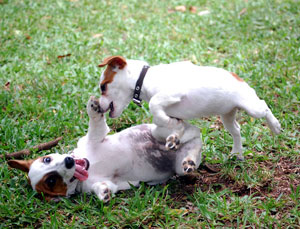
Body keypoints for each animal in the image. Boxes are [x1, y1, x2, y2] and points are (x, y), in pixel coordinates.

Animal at [8, 96, 203, 202]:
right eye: (51, 181)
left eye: (47, 159)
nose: (69, 161)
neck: (89, 164)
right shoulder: (104, 182)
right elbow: (102, 187)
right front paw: (103, 194)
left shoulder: (95, 137)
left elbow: (94, 123)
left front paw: (93, 109)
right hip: (180, 165)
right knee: (194, 145)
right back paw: (188, 160)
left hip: (158, 131)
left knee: (187, 131)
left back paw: (175, 137)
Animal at [98, 55, 282, 159]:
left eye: (103, 87)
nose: (98, 106)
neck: (143, 79)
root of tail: (237, 77)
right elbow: (161, 128)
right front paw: (175, 135)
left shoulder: (173, 93)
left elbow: (154, 104)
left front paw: (171, 126)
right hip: (227, 115)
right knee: (236, 130)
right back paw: (237, 152)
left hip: (252, 108)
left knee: (264, 106)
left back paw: (275, 126)